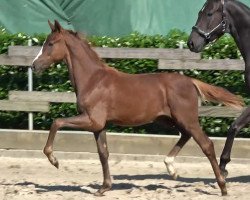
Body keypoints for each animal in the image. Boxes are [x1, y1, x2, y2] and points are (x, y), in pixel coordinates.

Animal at [31, 20, 244, 197]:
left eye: (51, 44)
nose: (34, 66)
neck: (93, 79)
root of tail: (191, 81)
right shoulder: (99, 126)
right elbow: (103, 154)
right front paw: (104, 187)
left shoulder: (92, 119)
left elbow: (57, 122)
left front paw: (54, 160)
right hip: (170, 120)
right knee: (186, 135)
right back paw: (171, 169)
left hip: (186, 119)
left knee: (206, 144)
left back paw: (222, 186)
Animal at [188, 0, 250, 178]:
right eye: (198, 13)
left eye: (209, 13)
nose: (191, 43)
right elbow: (234, 126)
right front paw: (223, 166)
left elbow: (234, 126)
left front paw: (222, 165)